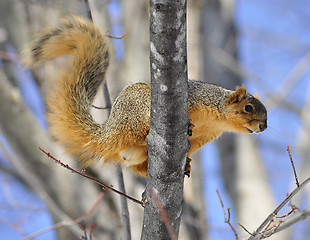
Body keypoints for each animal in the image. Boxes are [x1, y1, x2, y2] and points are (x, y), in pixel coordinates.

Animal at [23, 16, 266, 177]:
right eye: (248, 108)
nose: (263, 127)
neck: (217, 118)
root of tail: (109, 132)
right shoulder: (197, 97)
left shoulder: (204, 138)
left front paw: (187, 163)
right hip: (138, 108)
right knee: (139, 132)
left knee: (139, 167)